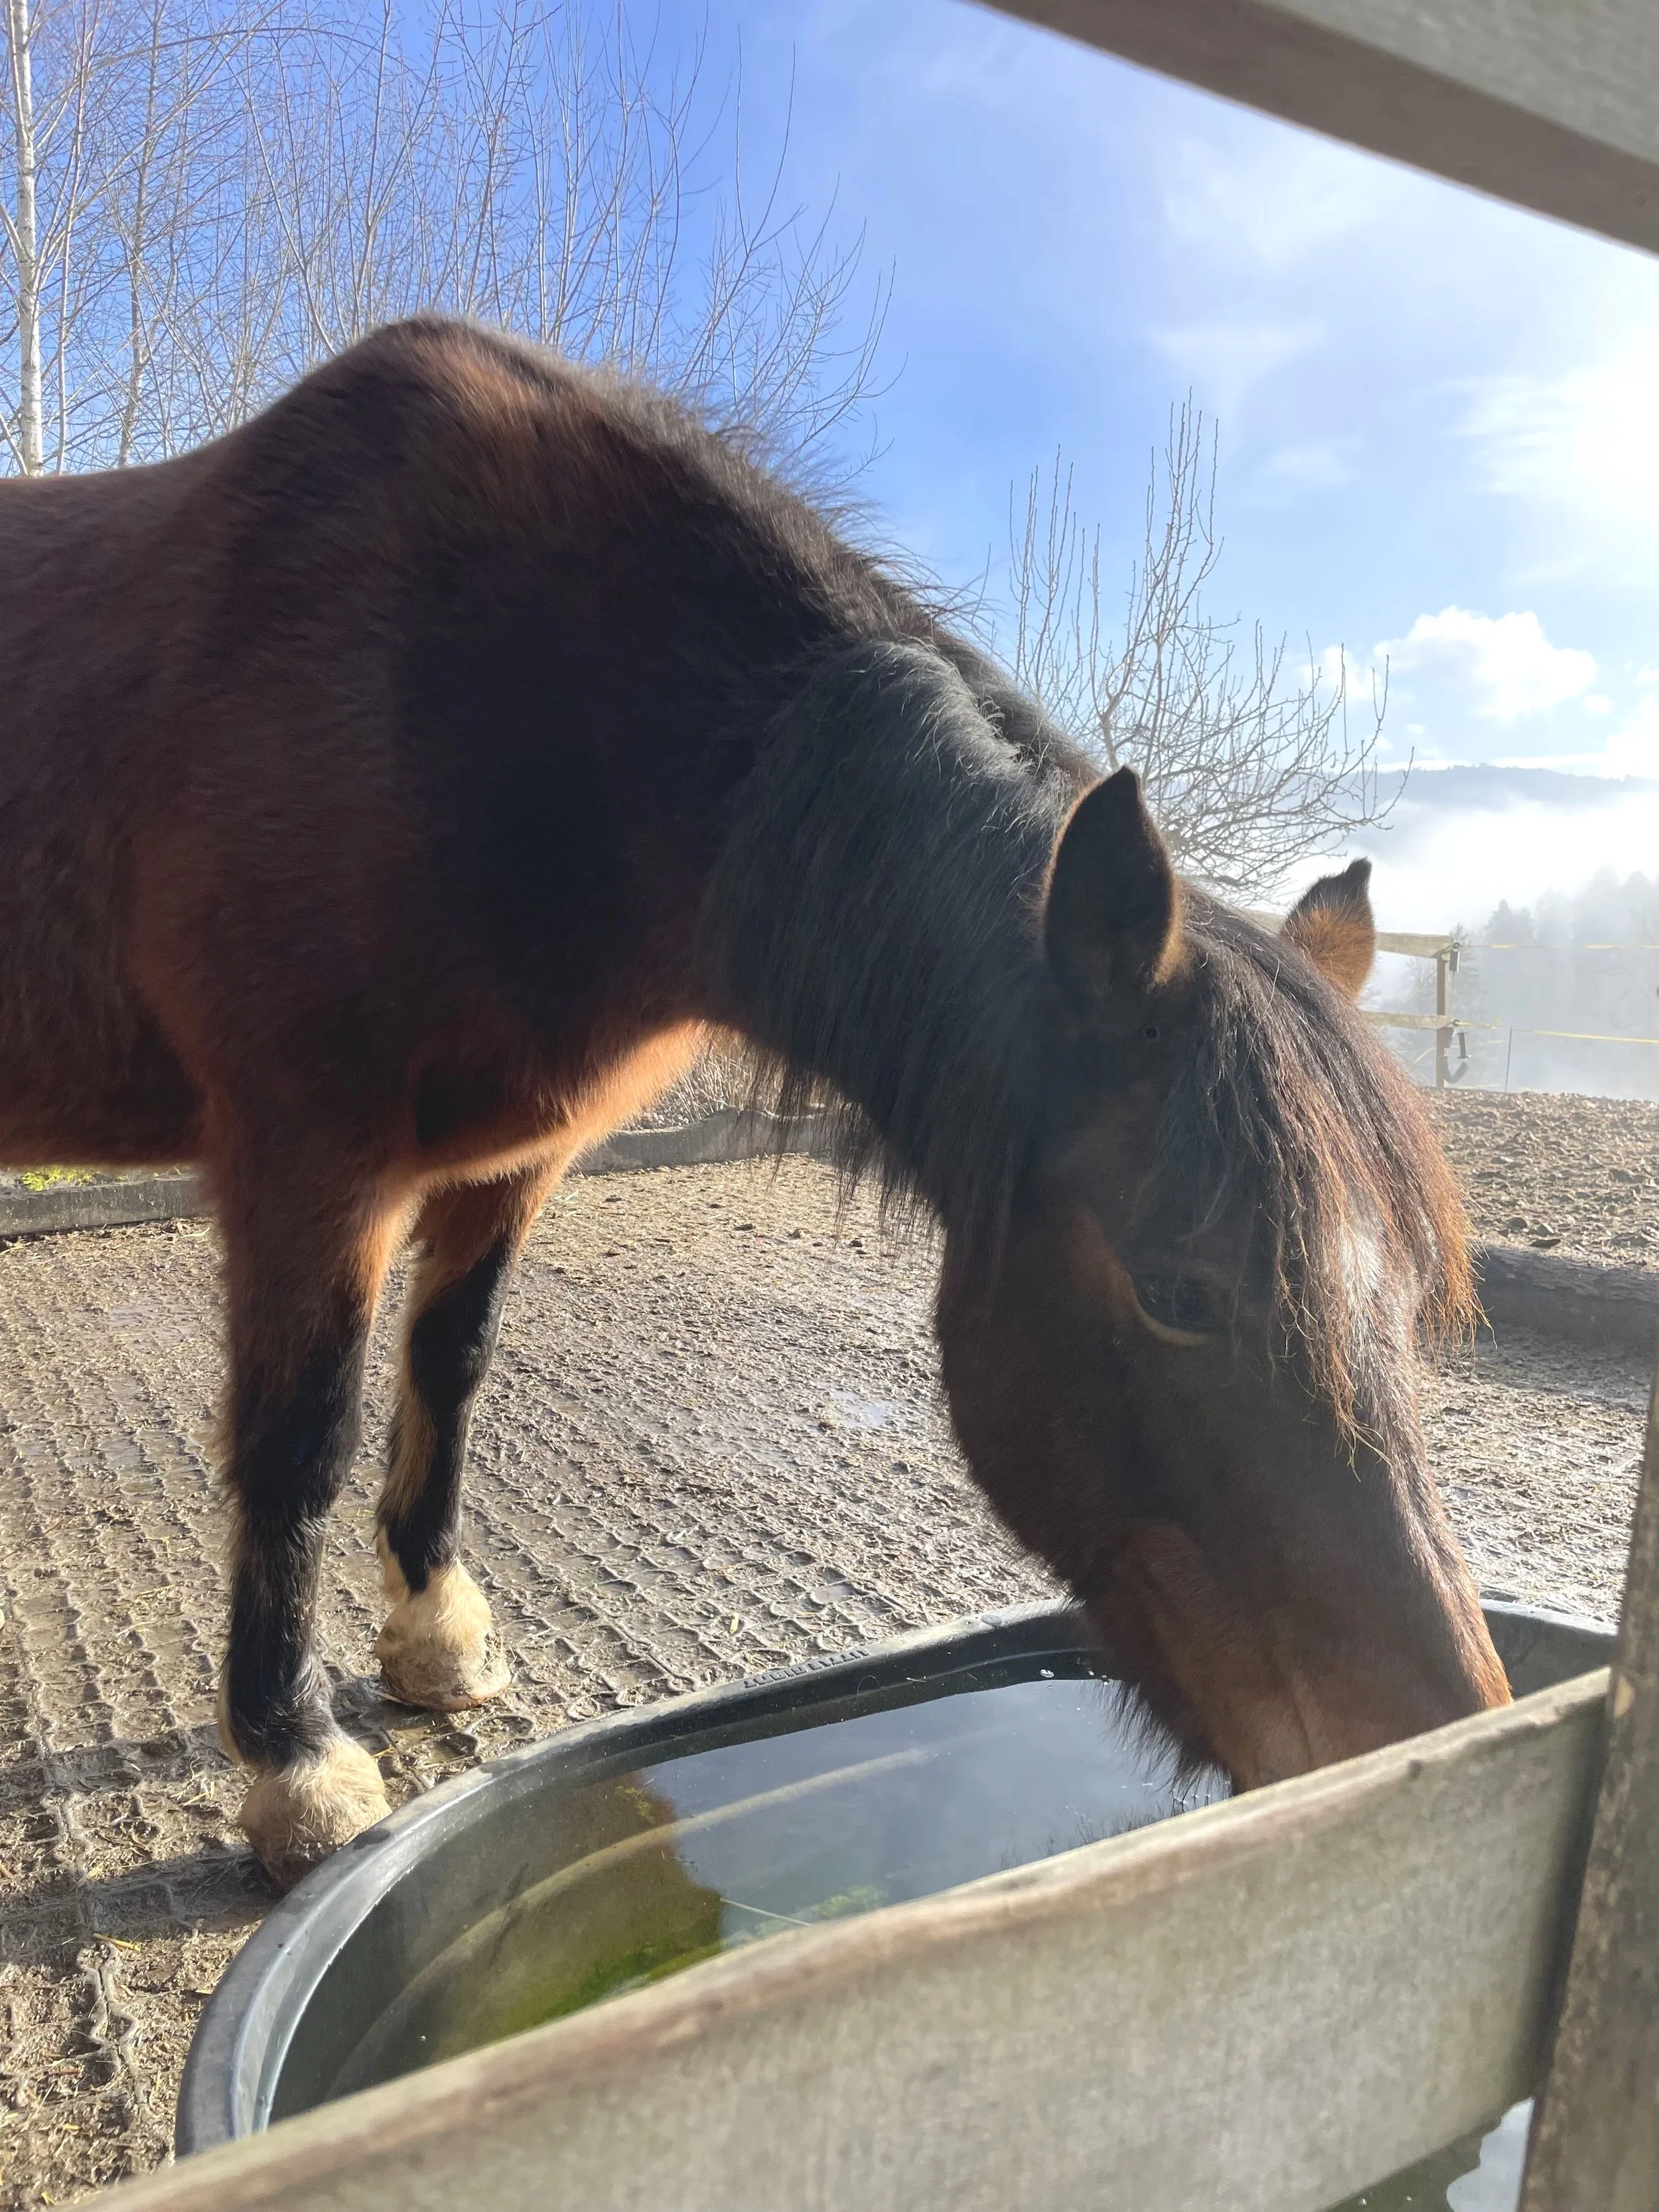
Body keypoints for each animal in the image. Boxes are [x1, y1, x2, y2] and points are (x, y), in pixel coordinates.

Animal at [0, 316, 1508, 1885]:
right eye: (1177, 1288)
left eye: (1416, 1295)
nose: (1437, 1743)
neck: (501, 696)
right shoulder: (310, 1162)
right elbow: (300, 1438)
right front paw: (297, 1763)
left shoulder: (510, 1160)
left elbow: (451, 1367)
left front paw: (436, 1636)